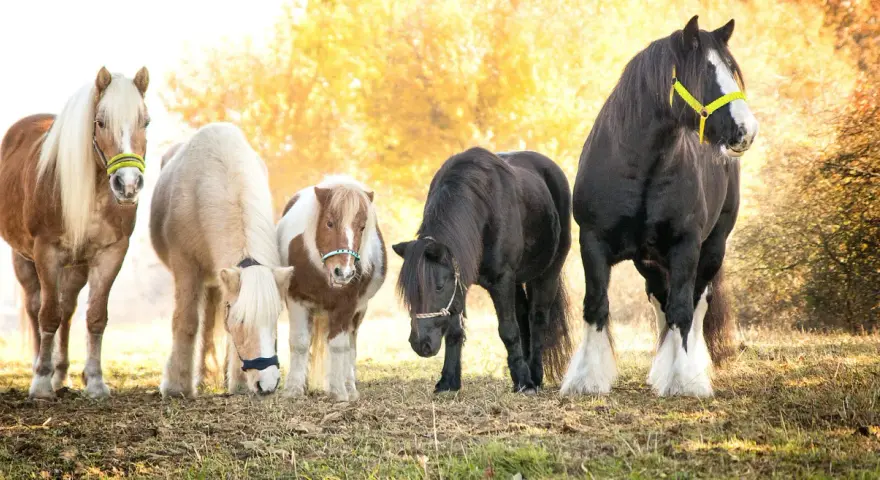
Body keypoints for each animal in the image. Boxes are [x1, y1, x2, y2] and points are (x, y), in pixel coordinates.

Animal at [0, 67, 150, 399]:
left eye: (145, 121)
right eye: (100, 122)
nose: (128, 185)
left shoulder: (110, 254)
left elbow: (95, 317)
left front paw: (94, 381)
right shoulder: (46, 252)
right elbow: (47, 315)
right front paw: (41, 384)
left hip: (77, 266)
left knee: (67, 309)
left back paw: (61, 374)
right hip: (23, 258)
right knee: (36, 307)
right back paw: (41, 370)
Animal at [150, 123, 293, 397]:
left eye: (275, 317)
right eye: (241, 320)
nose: (267, 385)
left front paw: (238, 381)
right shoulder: (186, 268)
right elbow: (186, 323)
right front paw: (176, 386)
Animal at [277, 176, 386, 401]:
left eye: (362, 227)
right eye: (329, 223)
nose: (343, 273)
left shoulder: (347, 307)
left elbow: (339, 346)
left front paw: (338, 391)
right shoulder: (296, 300)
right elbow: (300, 343)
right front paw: (293, 389)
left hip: (359, 312)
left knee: (350, 345)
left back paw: (349, 386)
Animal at [393, 147, 573, 394]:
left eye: (438, 287)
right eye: (409, 293)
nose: (421, 344)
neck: (483, 209)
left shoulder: (501, 280)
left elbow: (508, 330)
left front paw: (524, 382)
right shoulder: (462, 280)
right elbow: (455, 330)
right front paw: (448, 382)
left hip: (548, 271)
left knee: (537, 318)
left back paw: (534, 376)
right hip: (517, 281)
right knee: (524, 315)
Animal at [561, 16, 758, 398]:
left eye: (732, 69)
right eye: (705, 72)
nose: (746, 130)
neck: (641, 167)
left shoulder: (686, 245)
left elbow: (682, 309)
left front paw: (683, 380)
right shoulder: (592, 242)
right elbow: (596, 306)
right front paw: (587, 380)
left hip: (713, 247)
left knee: (696, 302)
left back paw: (692, 368)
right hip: (649, 261)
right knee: (658, 301)